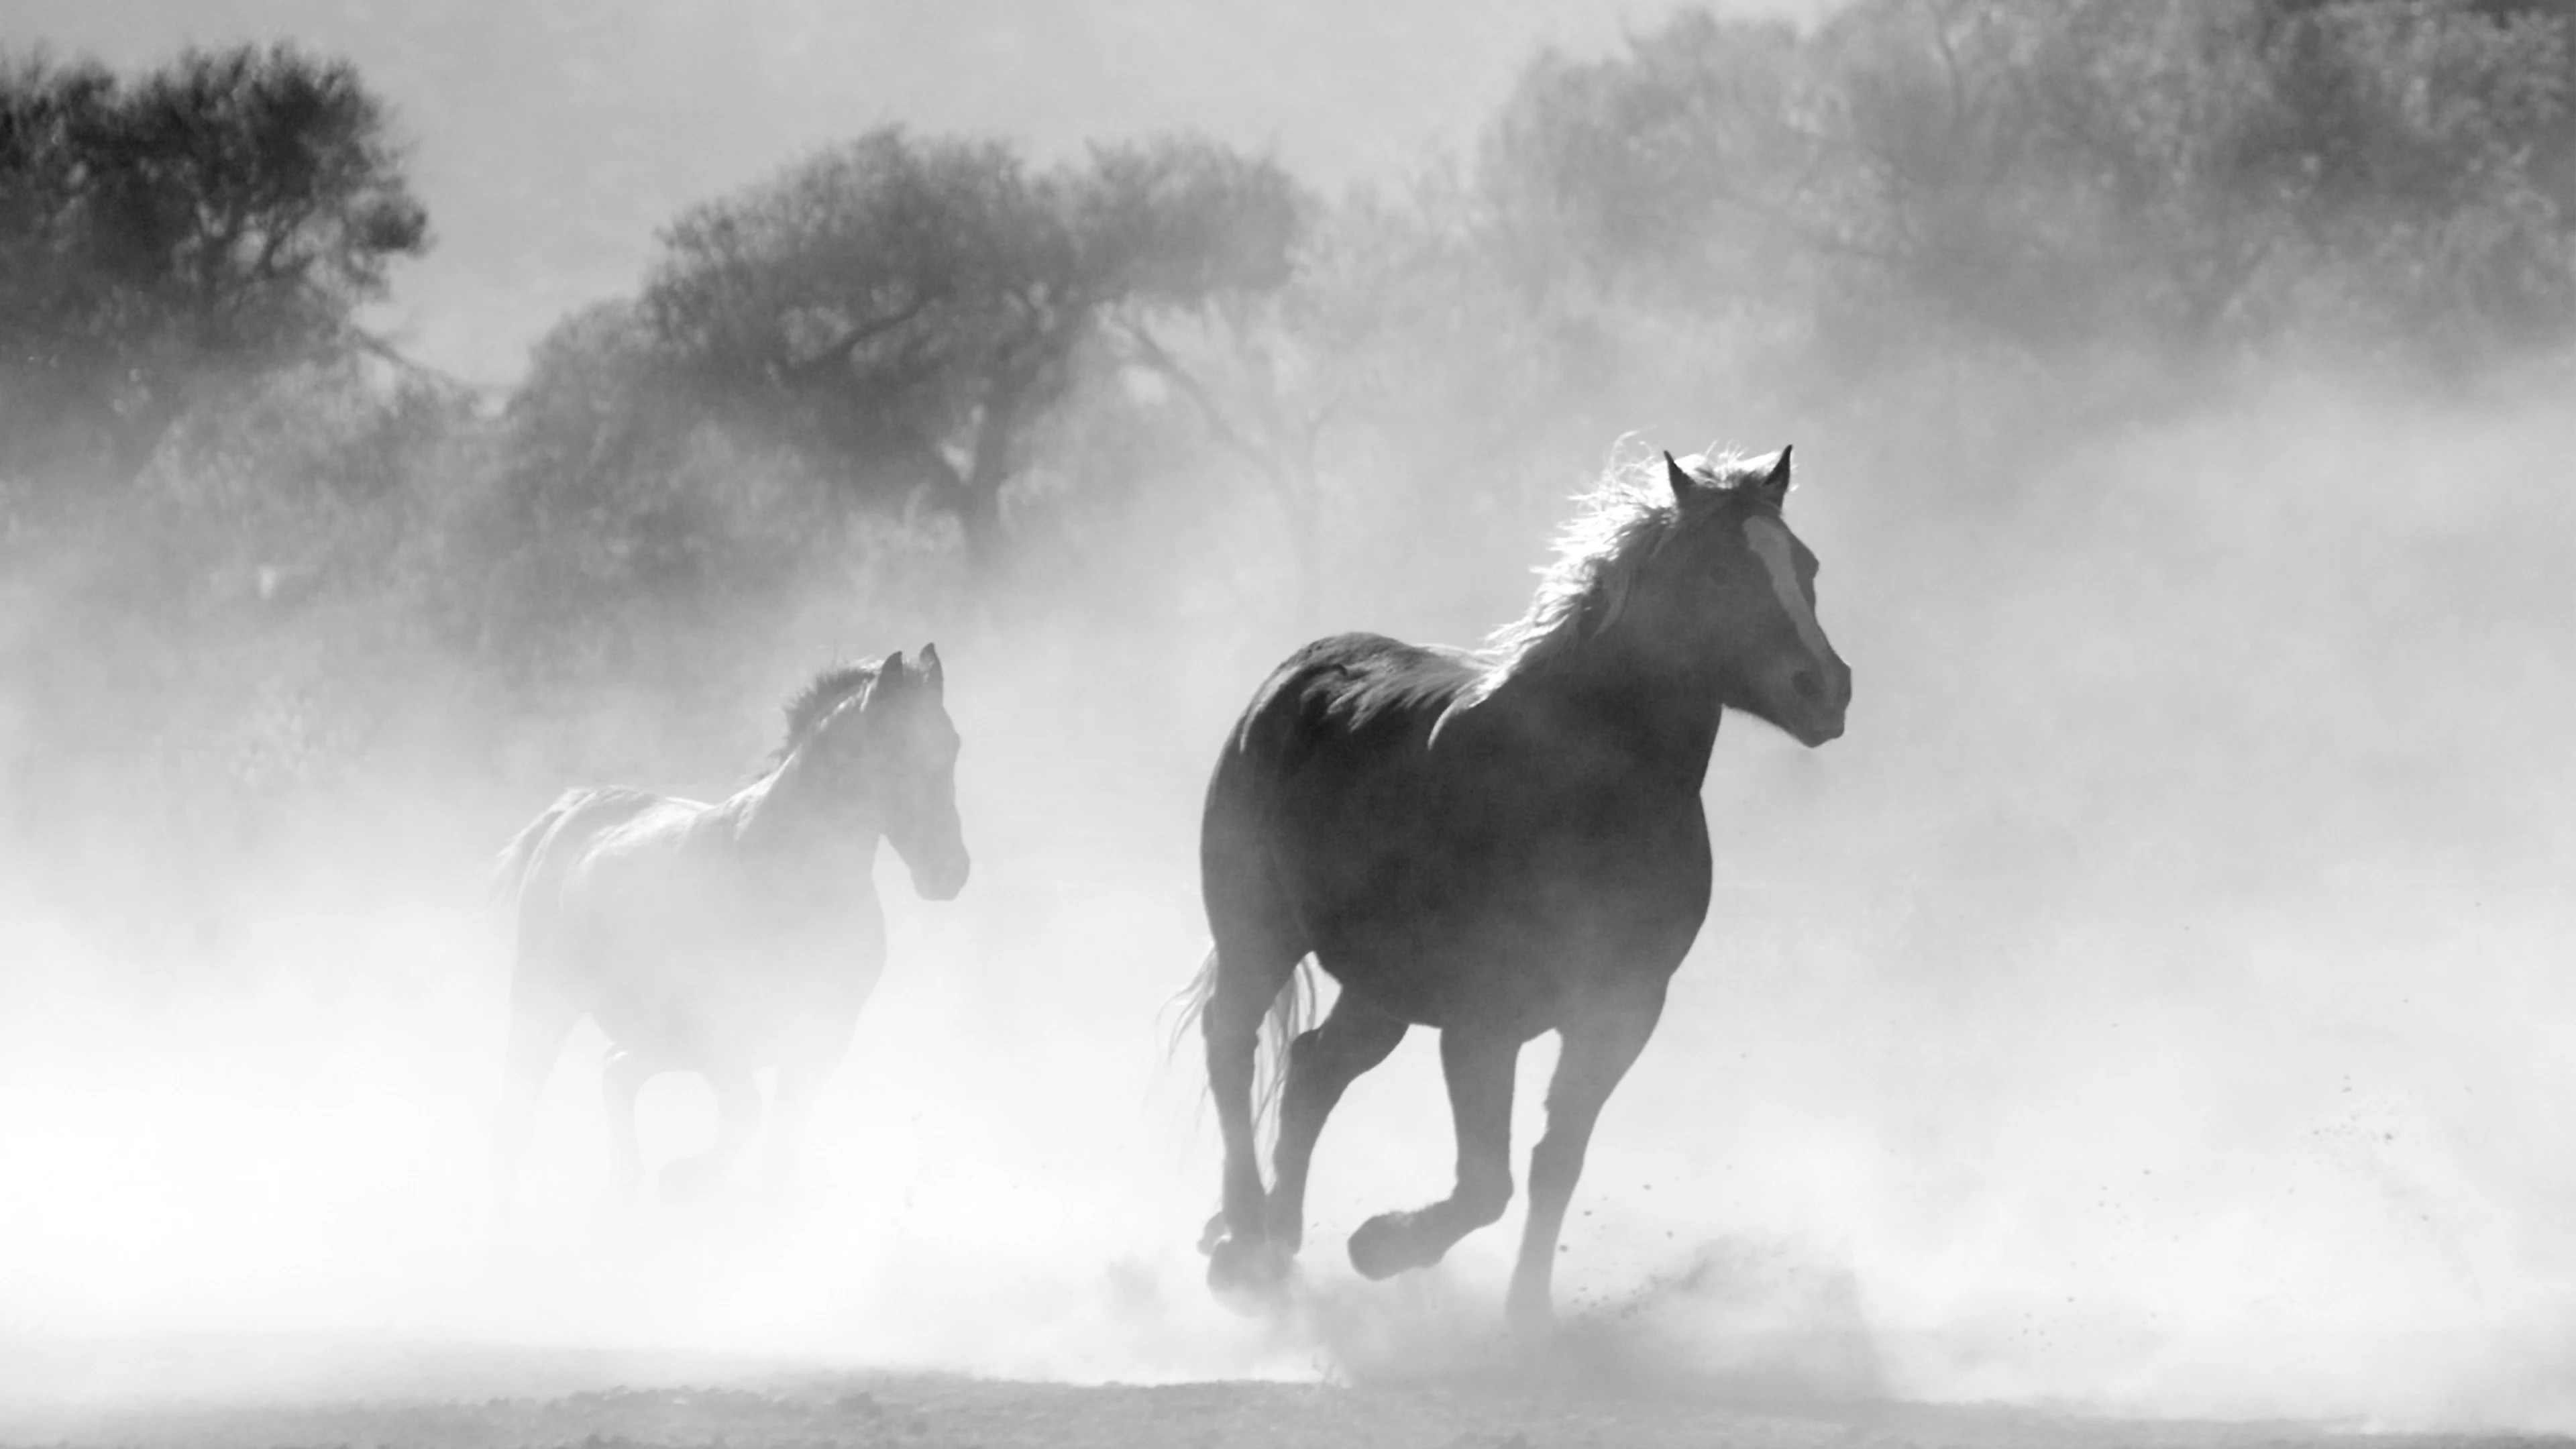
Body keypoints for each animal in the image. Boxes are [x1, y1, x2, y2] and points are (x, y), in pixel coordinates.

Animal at [488, 647, 968, 1230]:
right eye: (895, 749)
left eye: (952, 745)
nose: (949, 873)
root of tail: (573, 811)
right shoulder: (718, 1033)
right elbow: (747, 1113)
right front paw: (686, 1180)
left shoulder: (821, 1040)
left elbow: (778, 1153)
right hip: (545, 997)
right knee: (519, 1109)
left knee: (615, 1072)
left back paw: (617, 1198)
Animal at [1182, 444, 1849, 1328]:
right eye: (1717, 571)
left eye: (1805, 566)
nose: (1827, 688)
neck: (1581, 793)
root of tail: (1295, 677)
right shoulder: (1482, 1022)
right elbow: (1485, 1183)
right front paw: (1381, 1245)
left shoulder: (1621, 1012)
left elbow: (1554, 1162)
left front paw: (1526, 1315)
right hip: (1258, 934)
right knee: (1232, 1048)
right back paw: (1245, 1243)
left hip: (1382, 988)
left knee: (1313, 1068)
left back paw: (1280, 1242)